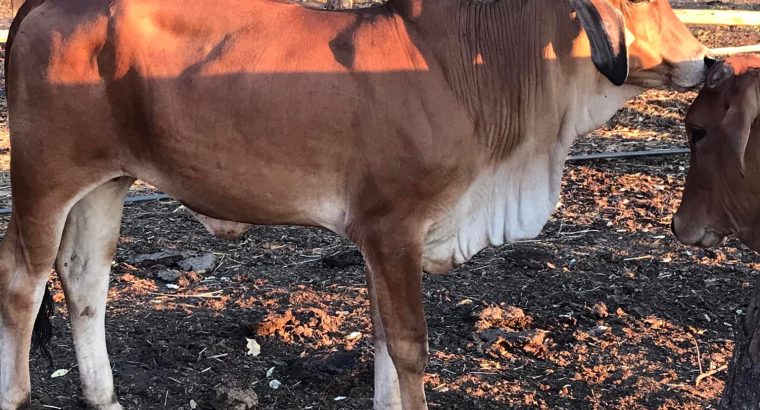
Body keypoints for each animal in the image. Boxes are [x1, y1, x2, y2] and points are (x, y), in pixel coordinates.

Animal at [1, 0, 711, 409]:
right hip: (44, 176)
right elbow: (409, 346)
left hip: (107, 181)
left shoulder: (377, 240)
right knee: (22, 283)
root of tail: (44, 4)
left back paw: (105, 397)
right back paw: (18, 392)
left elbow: (381, 344)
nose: (707, 62)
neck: (463, 65)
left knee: (84, 281)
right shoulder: (394, 227)